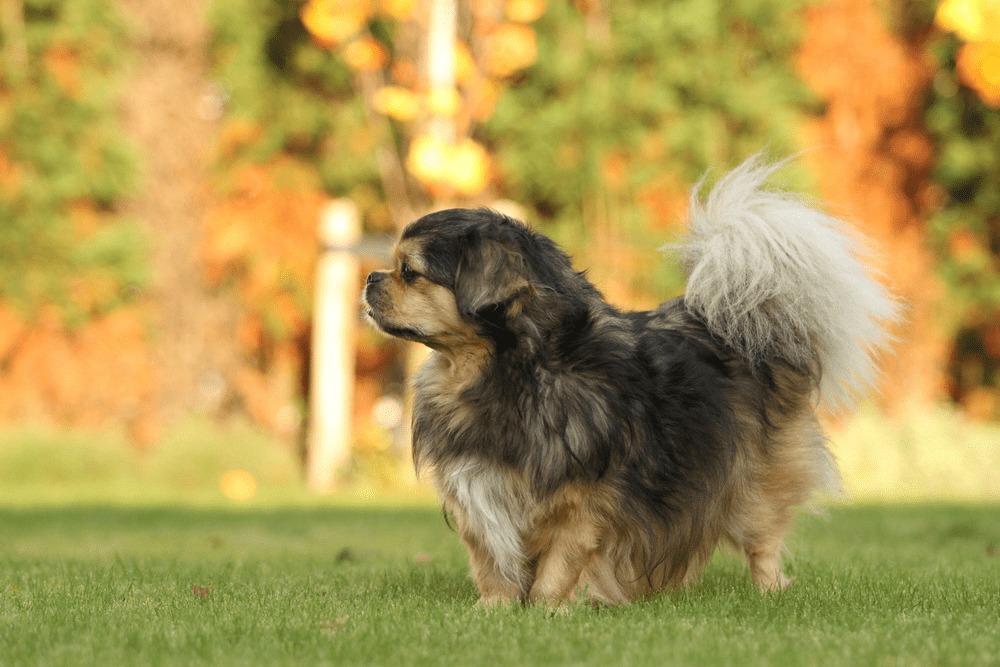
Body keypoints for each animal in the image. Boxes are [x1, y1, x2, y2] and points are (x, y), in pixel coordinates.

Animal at [362, 155, 900, 604]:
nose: (369, 277)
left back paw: (767, 592)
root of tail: (736, 318)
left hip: (753, 485)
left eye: (409, 273)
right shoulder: (478, 495)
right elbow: (491, 564)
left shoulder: (583, 506)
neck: (513, 374)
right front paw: (494, 610)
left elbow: (559, 565)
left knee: (762, 542)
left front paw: (546, 610)